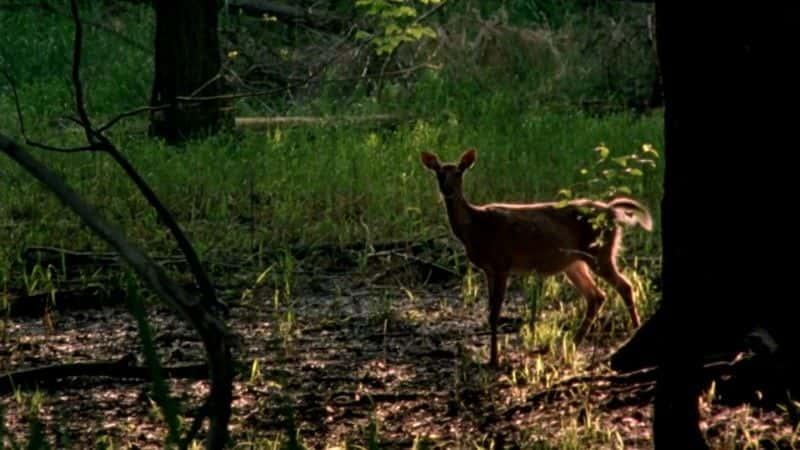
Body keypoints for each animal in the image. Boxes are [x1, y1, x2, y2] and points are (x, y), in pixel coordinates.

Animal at [418, 149, 648, 368]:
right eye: (438, 173)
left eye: (459, 172)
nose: (447, 190)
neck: (475, 226)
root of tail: (612, 211)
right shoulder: (488, 269)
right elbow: (490, 312)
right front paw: (491, 359)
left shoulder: (502, 263)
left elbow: (495, 313)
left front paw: (494, 361)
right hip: (574, 262)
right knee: (596, 296)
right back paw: (572, 345)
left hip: (600, 251)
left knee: (624, 286)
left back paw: (635, 329)